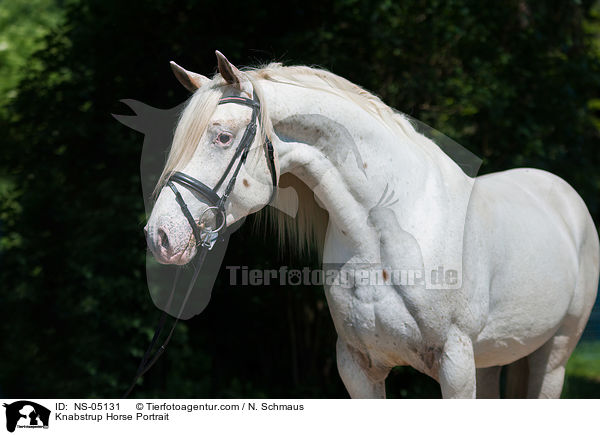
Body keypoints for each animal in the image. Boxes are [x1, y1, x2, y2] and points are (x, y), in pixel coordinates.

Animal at [146, 51, 600, 398]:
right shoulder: (357, 367)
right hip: (493, 358)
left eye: (222, 137)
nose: (159, 236)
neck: (382, 237)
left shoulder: (455, 365)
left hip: (554, 355)